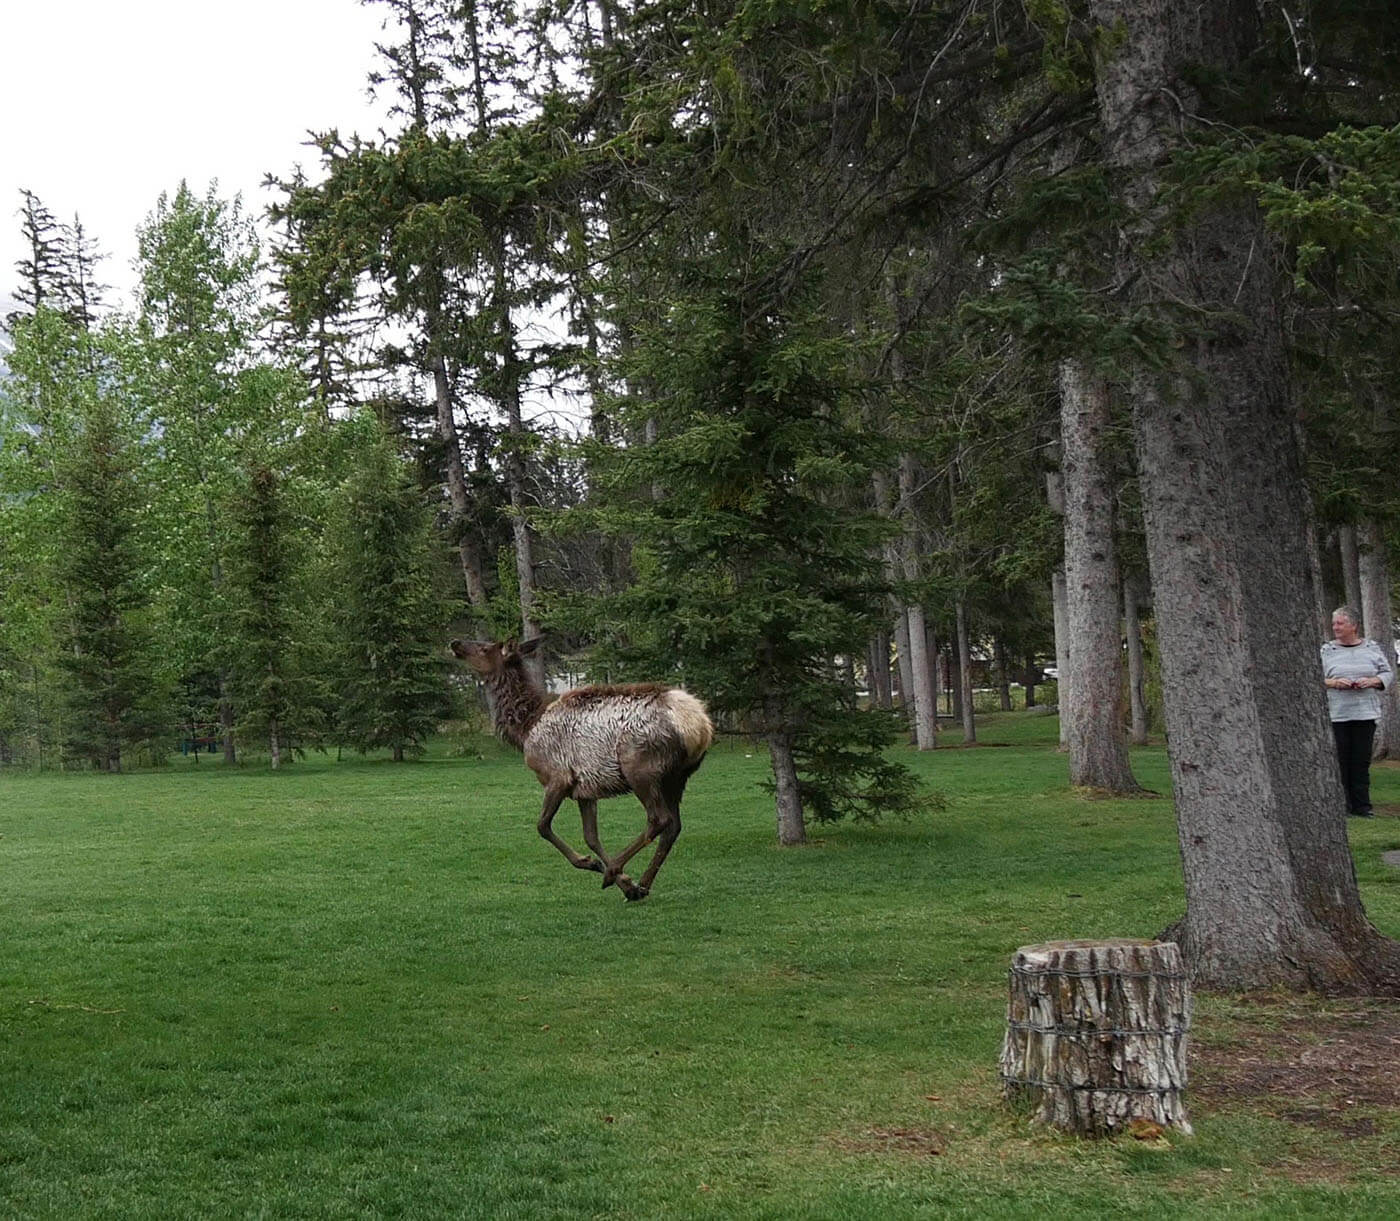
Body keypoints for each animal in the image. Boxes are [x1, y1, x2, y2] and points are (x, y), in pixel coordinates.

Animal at [448, 635, 711, 901]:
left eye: (484, 647)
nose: (455, 643)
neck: (525, 729)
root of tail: (701, 726)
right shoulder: (585, 789)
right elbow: (591, 837)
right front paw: (626, 882)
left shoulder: (558, 777)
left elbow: (543, 826)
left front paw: (598, 866)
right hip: (677, 778)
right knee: (674, 826)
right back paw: (642, 885)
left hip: (641, 768)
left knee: (659, 819)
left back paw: (615, 872)